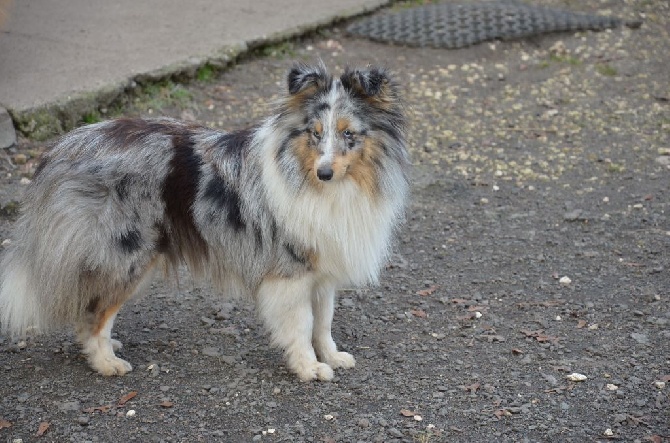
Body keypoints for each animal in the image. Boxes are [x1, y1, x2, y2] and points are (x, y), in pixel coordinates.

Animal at [0, 62, 410, 382]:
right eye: (315, 133)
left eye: (348, 134)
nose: (324, 172)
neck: (321, 186)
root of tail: (61, 149)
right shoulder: (289, 273)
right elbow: (303, 325)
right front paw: (309, 368)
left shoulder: (321, 270)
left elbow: (324, 322)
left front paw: (333, 356)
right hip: (127, 255)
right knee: (95, 316)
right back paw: (106, 363)